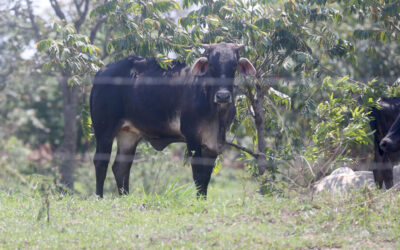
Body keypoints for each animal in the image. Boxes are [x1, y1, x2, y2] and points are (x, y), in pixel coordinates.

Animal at [90, 43, 256, 199]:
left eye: (234, 65)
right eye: (212, 65)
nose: (223, 96)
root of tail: (101, 72)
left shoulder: (213, 143)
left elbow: (206, 177)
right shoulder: (192, 137)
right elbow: (198, 174)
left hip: (128, 135)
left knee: (121, 167)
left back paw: (125, 197)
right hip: (104, 130)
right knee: (101, 163)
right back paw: (99, 197)